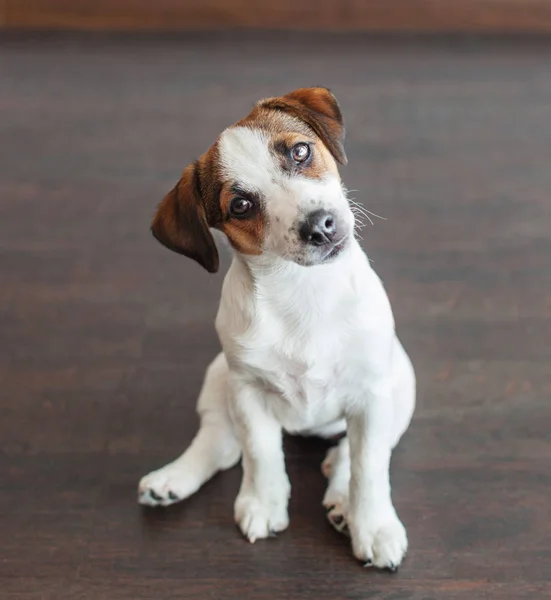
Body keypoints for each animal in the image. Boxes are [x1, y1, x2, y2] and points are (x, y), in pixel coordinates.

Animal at [140, 86, 416, 568]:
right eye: (241, 205)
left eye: (300, 151)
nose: (320, 226)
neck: (302, 291)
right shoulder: (248, 391)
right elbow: (260, 453)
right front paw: (263, 504)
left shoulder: (371, 394)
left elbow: (368, 467)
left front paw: (373, 526)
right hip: (220, 377)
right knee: (221, 442)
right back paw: (171, 480)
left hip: (400, 389)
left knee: (355, 451)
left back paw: (340, 495)